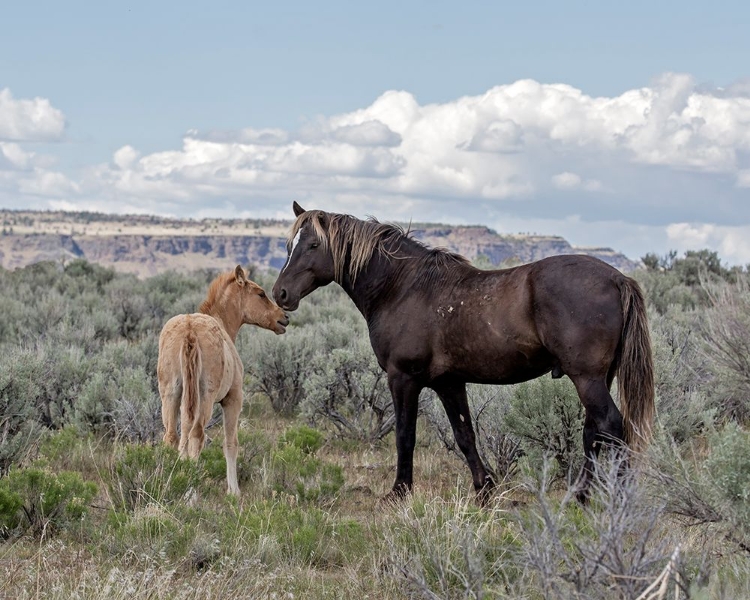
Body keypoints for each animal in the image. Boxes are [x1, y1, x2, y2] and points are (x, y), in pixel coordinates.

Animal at [157, 264, 290, 494]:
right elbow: (230, 444)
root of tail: (190, 331)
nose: (284, 318)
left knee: (172, 436)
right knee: (196, 435)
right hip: (205, 398)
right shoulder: (233, 399)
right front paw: (234, 491)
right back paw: (191, 490)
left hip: (171, 394)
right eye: (261, 293)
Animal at [274, 202, 656, 502]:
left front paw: (399, 491)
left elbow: (405, 436)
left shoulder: (403, 378)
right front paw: (484, 490)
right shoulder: (449, 383)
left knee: (611, 427)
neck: (403, 288)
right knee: (594, 433)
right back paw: (580, 496)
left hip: (587, 378)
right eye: (288, 245)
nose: (280, 294)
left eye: (312, 244)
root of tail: (618, 278)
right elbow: (464, 436)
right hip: (598, 377)